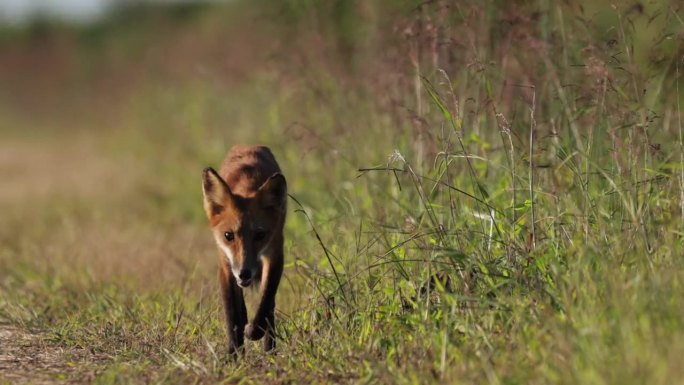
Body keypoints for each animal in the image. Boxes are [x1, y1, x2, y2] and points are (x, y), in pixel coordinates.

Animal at [203, 145, 288, 354]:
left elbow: (266, 300)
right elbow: (232, 316)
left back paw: (269, 349)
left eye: (260, 235)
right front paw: (234, 354)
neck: (246, 185)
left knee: (270, 307)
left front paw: (255, 331)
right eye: (228, 235)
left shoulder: (275, 253)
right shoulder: (226, 265)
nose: (244, 273)